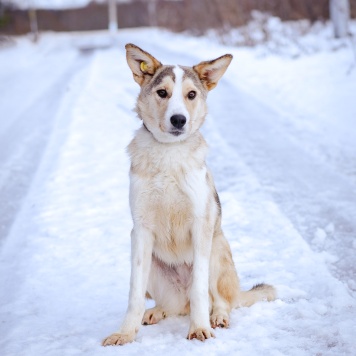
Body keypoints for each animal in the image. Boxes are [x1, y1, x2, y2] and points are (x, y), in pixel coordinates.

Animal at [101, 43, 276, 346]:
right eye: (162, 93)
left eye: (191, 95)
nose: (179, 119)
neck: (169, 154)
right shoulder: (140, 231)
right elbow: (134, 294)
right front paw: (125, 333)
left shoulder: (200, 226)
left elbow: (199, 291)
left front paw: (199, 328)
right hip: (153, 265)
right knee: (173, 306)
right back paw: (156, 311)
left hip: (216, 248)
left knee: (218, 300)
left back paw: (217, 317)